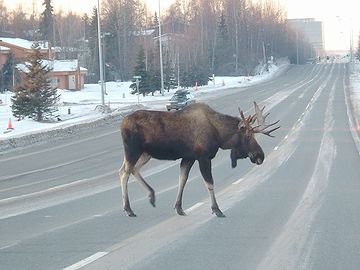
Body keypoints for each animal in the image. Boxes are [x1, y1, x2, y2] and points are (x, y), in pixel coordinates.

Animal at [118, 102, 278, 217]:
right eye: (249, 136)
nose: (260, 155)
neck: (219, 135)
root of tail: (122, 123)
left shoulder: (189, 158)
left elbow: (182, 179)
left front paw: (179, 208)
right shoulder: (203, 157)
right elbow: (209, 183)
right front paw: (216, 209)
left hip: (145, 154)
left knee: (129, 170)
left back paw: (150, 196)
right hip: (133, 150)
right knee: (125, 172)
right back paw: (128, 209)